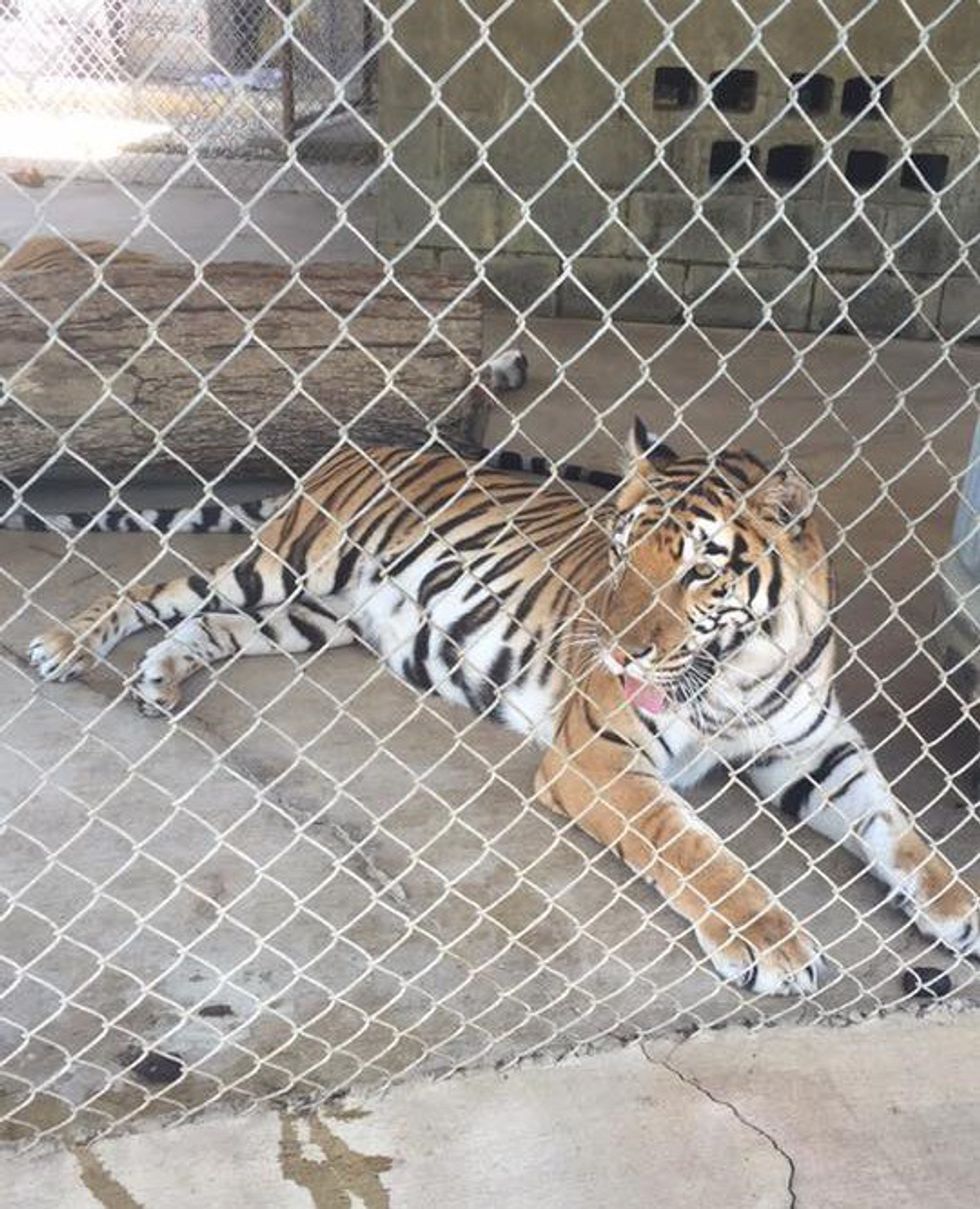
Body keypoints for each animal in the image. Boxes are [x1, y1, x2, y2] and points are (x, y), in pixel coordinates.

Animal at [19, 419, 979, 995]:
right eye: (621, 550)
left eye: (702, 569)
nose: (617, 647)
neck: (739, 671)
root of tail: (360, 445)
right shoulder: (598, 756)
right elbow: (694, 848)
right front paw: (769, 942)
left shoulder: (816, 749)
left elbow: (899, 831)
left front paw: (958, 907)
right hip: (287, 566)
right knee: (151, 590)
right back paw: (65, 645)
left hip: (311, 614)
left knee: (209, 627)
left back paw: (163, 675)